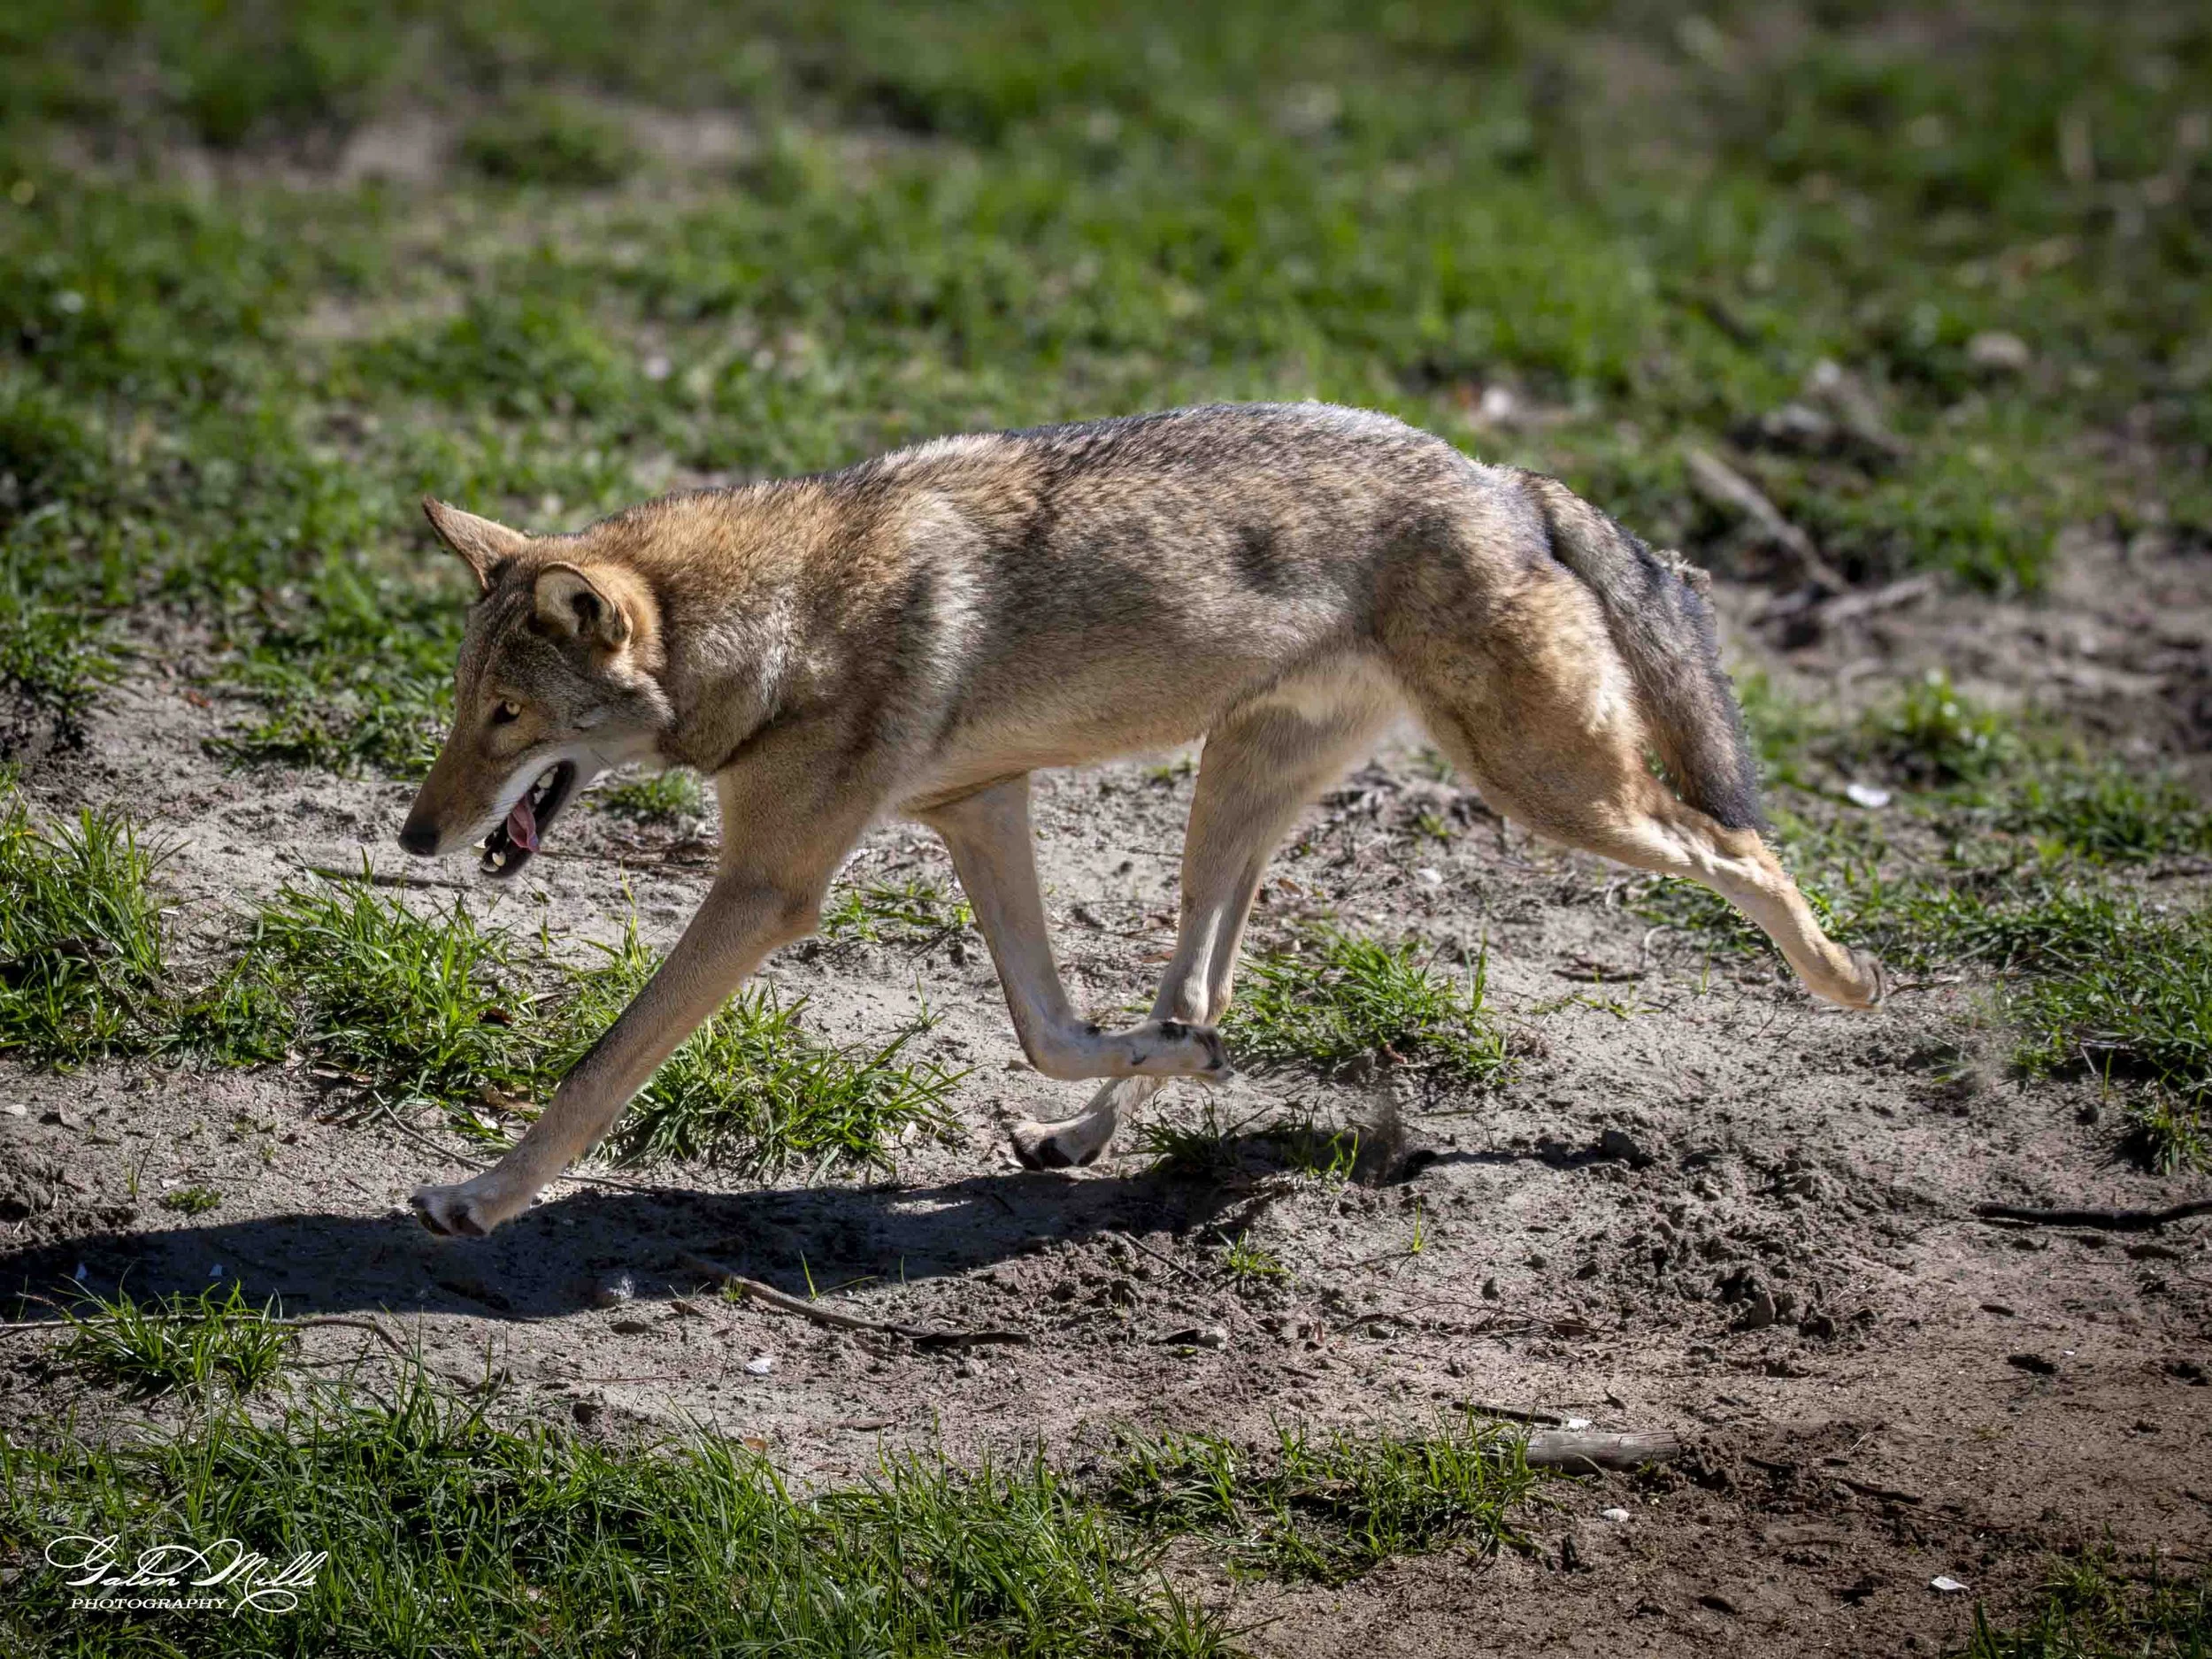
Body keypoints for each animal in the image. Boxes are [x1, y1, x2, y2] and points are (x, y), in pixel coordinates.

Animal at [397, 402, 1884, 1238]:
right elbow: (1049, 1027)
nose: (413, 839)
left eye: (510, 720)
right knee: (1204, 981)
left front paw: (477, 1198)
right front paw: (1166, 1070)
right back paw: (1118, 1112)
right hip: (1236, 795)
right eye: (465, 703)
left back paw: (1846, 978)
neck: (781, 619)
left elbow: (599, 1066)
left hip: (1551, 792)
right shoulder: (979, 808)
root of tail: (1503, 477)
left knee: (1738, 843)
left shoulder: (771, 888)